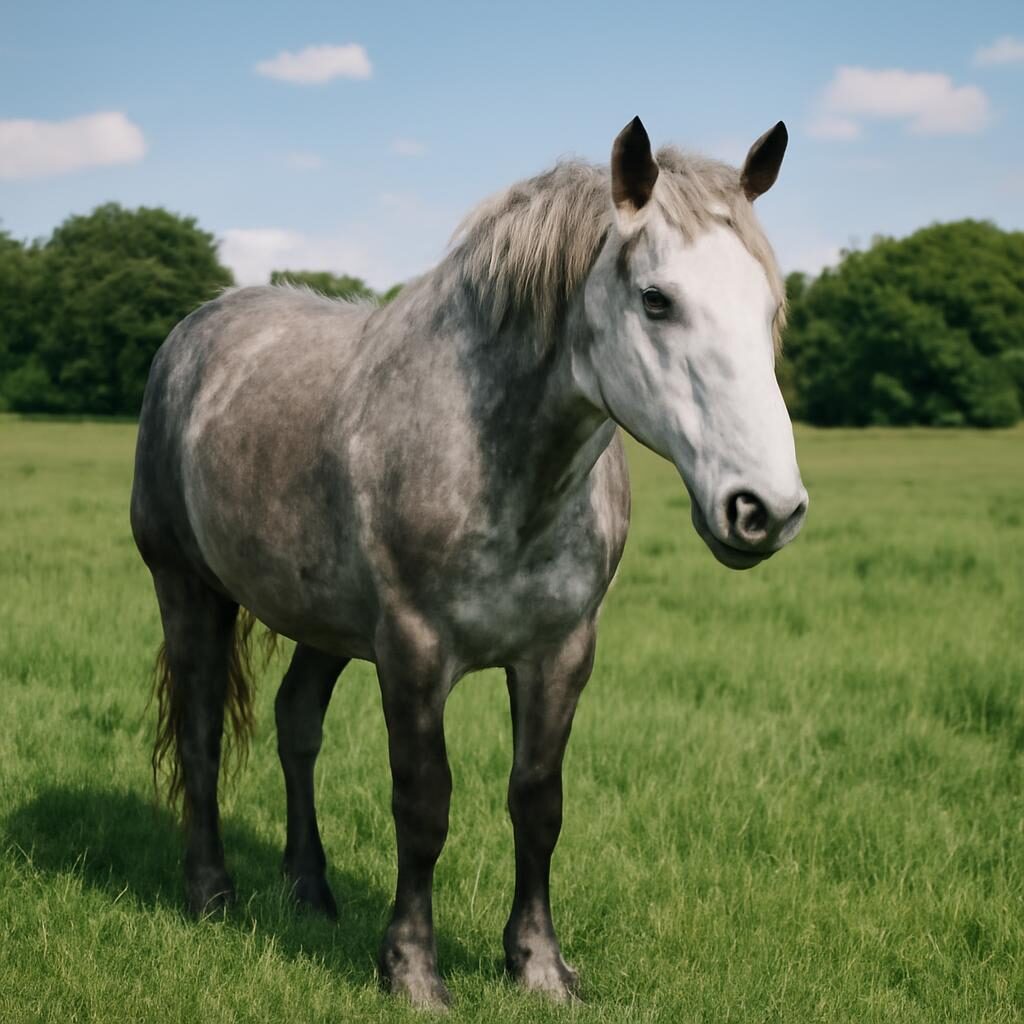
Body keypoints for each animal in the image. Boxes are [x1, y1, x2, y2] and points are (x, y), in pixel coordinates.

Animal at [130, 116, 807, 1009]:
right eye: (657, 299)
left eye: (768, 306)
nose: (765, 508)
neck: (502, 464)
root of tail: (195, 332)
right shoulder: (414, 652)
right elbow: (424, 806)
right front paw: (413, 971)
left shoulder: (561, 653)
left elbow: (538, 804)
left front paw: (540, 967)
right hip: (187, 587)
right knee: (203, 725)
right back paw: (210, 892)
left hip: (325, 623)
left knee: (295, 724)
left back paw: (308, 889)